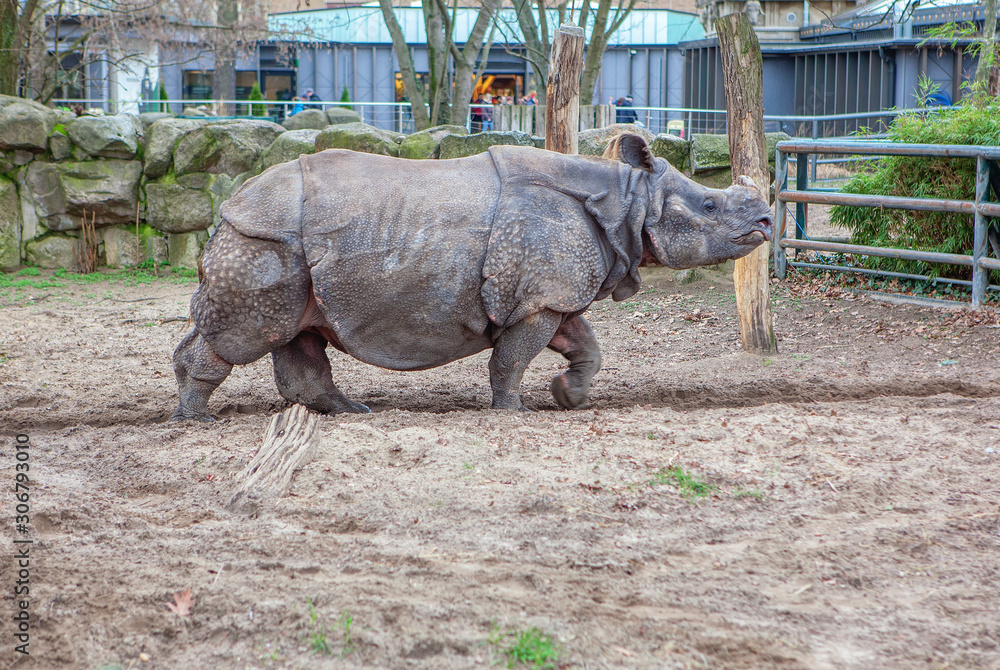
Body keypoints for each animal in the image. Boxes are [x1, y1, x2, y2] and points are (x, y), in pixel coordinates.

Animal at [171, 133, 772, 420]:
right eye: (711, 205)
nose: (767, 220)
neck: (625, 199)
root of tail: (228, 204)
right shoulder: (539, 296)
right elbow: (512, 358)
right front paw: (513, 411)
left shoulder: (550, 293)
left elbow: (586, 346)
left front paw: (568, 396)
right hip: (261, 240)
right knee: (245, 334)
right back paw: (197, 419)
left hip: (282, 246)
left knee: (299, 331)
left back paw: (354, 412)